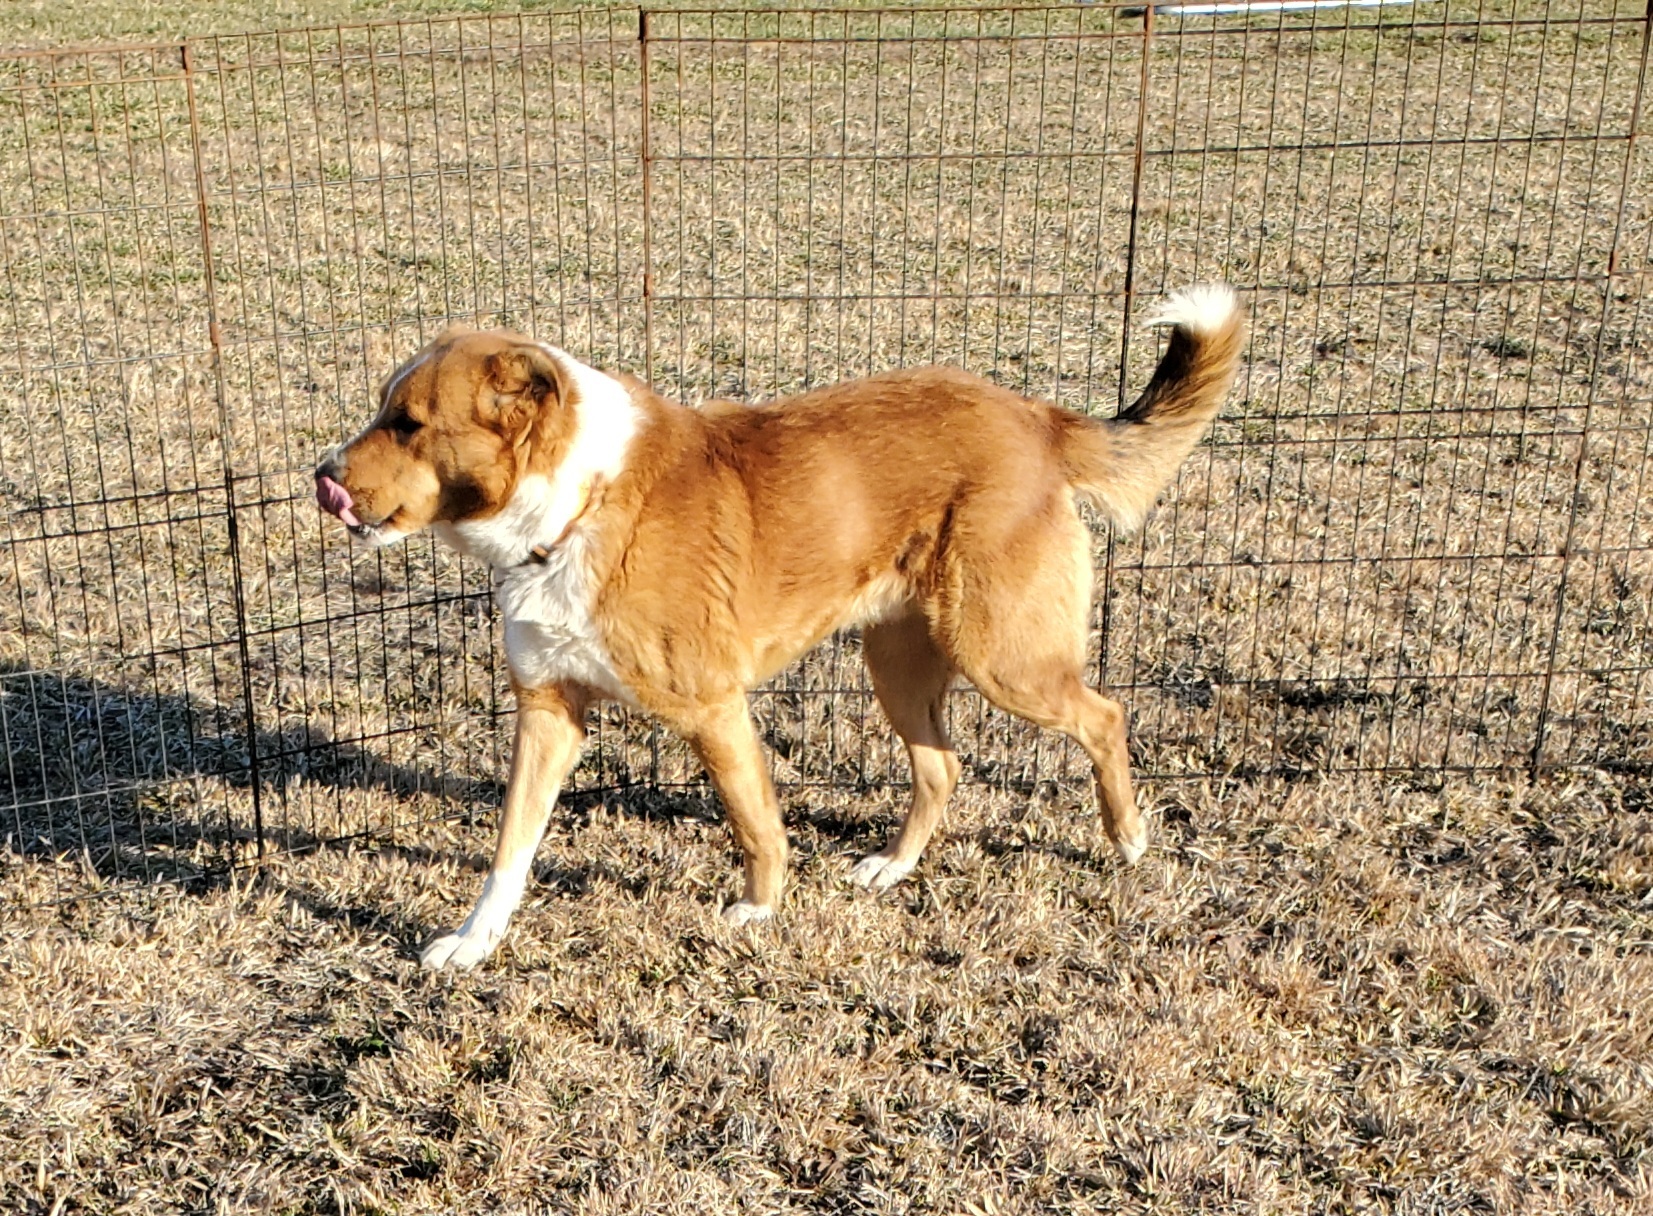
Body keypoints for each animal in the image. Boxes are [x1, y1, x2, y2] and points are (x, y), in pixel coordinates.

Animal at [315, 284, 1243, 971]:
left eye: (408, 423)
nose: (320, 479)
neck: (576, 507)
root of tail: (1038, 418)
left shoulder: (713, 710)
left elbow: (754, 823)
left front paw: (759, 911)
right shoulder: (548, 712)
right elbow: (510, 846)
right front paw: (472, 944)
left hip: (1002, 657)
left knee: (1104, 716)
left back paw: (1128, 840)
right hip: (895, 663)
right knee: (941, 767)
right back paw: (893, 867)